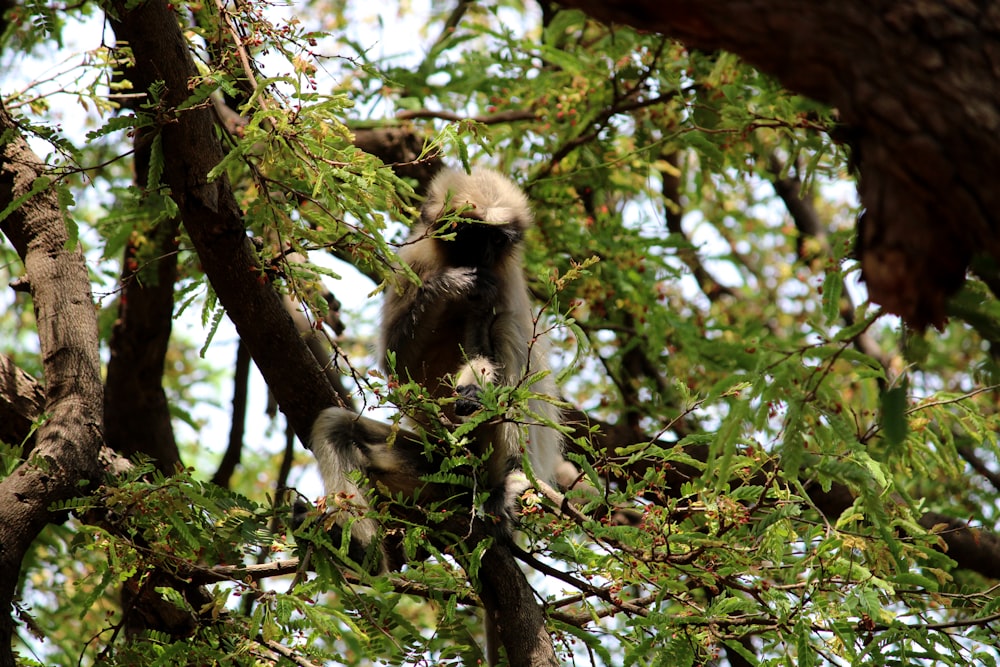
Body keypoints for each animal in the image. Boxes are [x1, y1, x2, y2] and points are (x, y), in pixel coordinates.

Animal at [308, 170, 568, 572]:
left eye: (496, 239)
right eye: (471, 235)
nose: (484, 254)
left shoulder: (502, 280)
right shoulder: (411, 262)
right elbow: (396, 366)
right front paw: (451, 284)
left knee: (507, 332)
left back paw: (511, 479)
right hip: (438, 469)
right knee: (334, 427)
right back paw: (359, 553)